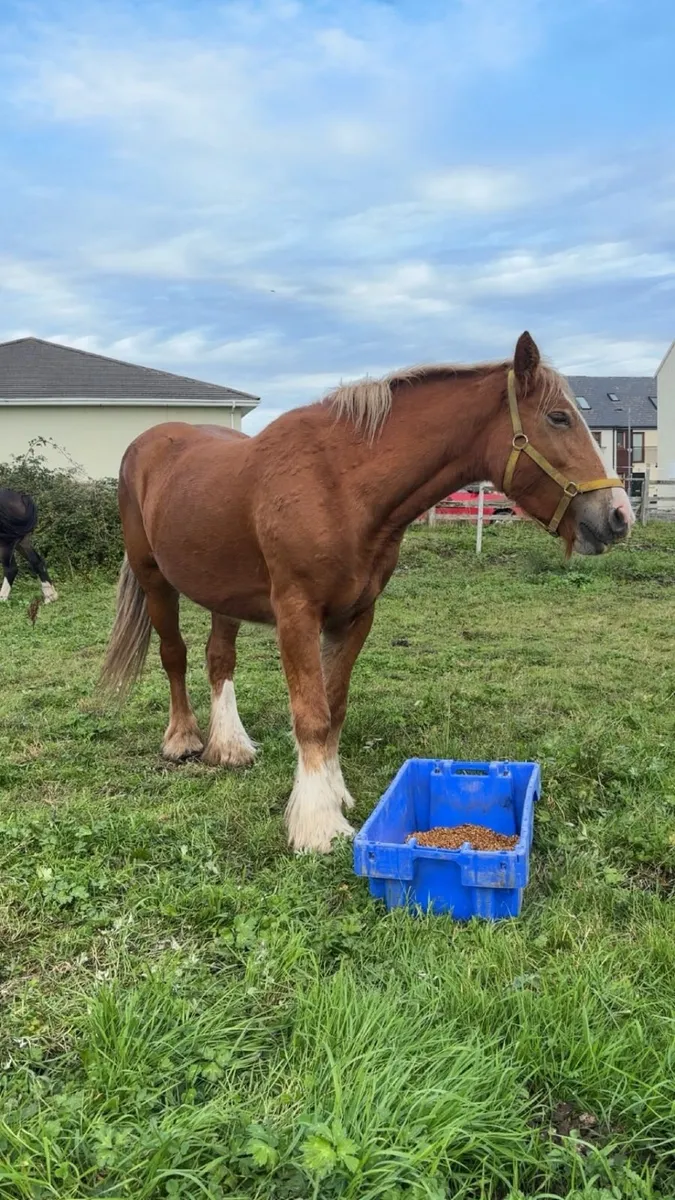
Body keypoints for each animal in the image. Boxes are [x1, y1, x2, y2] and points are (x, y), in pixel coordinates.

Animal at [100, 332, 632, 853]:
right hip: (154, 579)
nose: (618, 515)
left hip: (221, 593)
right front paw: (318, 826)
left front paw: (334, 794)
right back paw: (183, 739)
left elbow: (334, 708)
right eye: (559, 417)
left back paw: (228, 746)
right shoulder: (297, 614)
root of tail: (144, 445)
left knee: (219, 659)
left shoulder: (355, 616)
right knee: (174, 655)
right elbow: (312, 716)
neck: (340, 484)